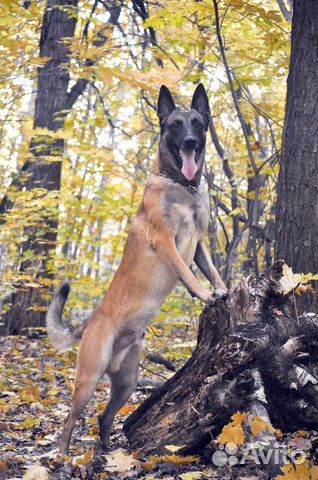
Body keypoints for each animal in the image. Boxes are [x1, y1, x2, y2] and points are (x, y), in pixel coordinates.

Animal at [46, 82, 227, 454]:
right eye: (175, 125)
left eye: (198, 123)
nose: (190, 142)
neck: (182, 187)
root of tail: (89, 322)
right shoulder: (167, 241)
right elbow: (188, 274)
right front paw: (206, 296)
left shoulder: (199, 243)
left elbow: (211, 270)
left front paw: (221, 287)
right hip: (89, 378)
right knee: (70, 421)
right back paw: (63, 457)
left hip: (127, 382)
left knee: (103, 418)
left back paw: (109, 452)